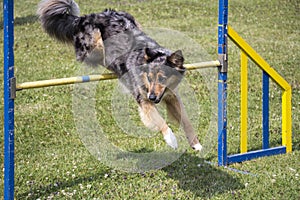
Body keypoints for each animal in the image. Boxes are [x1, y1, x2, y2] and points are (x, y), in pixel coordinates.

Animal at [37, 0, 202, 150]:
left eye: (162, 78)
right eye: (149, 77)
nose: (152, 97)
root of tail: (82, 18)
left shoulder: (171, 95)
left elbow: (186, 120)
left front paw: (196, 143)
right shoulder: (143, 99)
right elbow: (160, 120)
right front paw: (171, 139)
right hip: (95, 44)